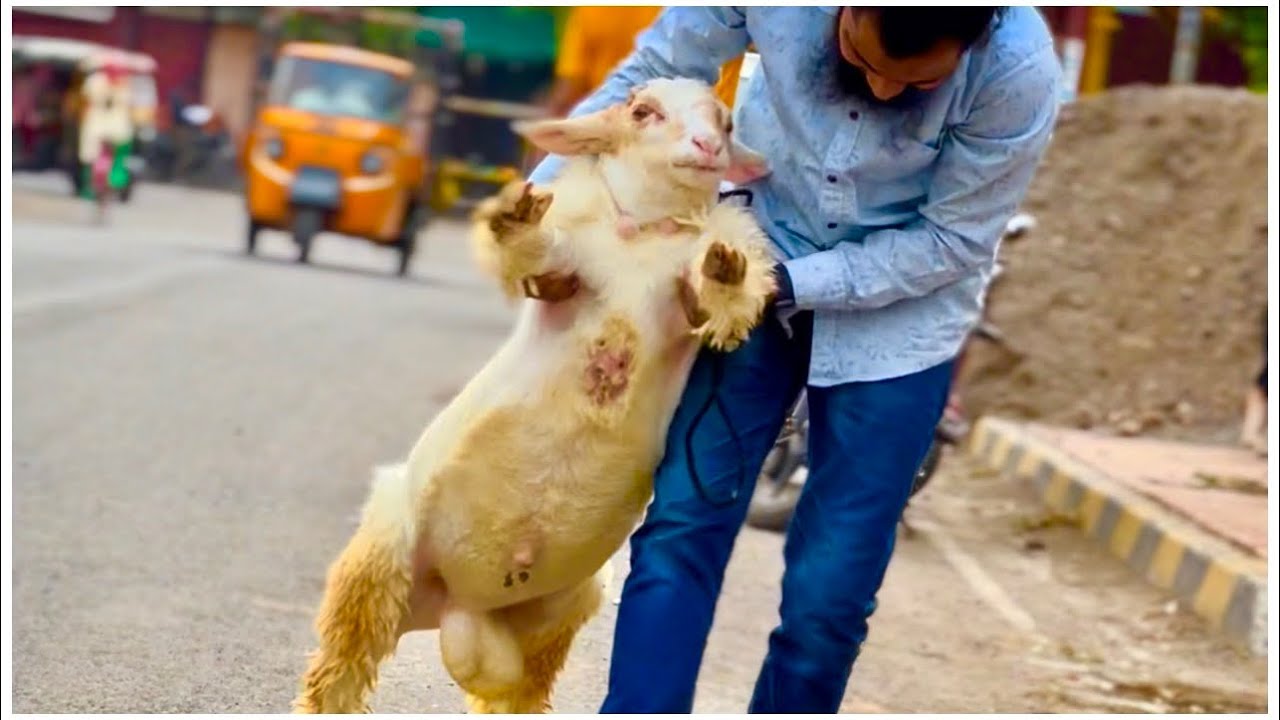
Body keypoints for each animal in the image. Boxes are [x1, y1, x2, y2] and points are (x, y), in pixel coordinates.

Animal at [293, 77, 777, 714]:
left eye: (725, 122)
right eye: (643, 110)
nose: (706, 146)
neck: (642, 234)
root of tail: (459, 603)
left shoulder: (683, 305)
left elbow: (714, 290)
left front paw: (725, 269)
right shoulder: (566, 264)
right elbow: (537, 248)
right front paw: (515, 216)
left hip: (555, 614)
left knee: (514, 688)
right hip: (379, 566)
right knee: (341, 669)